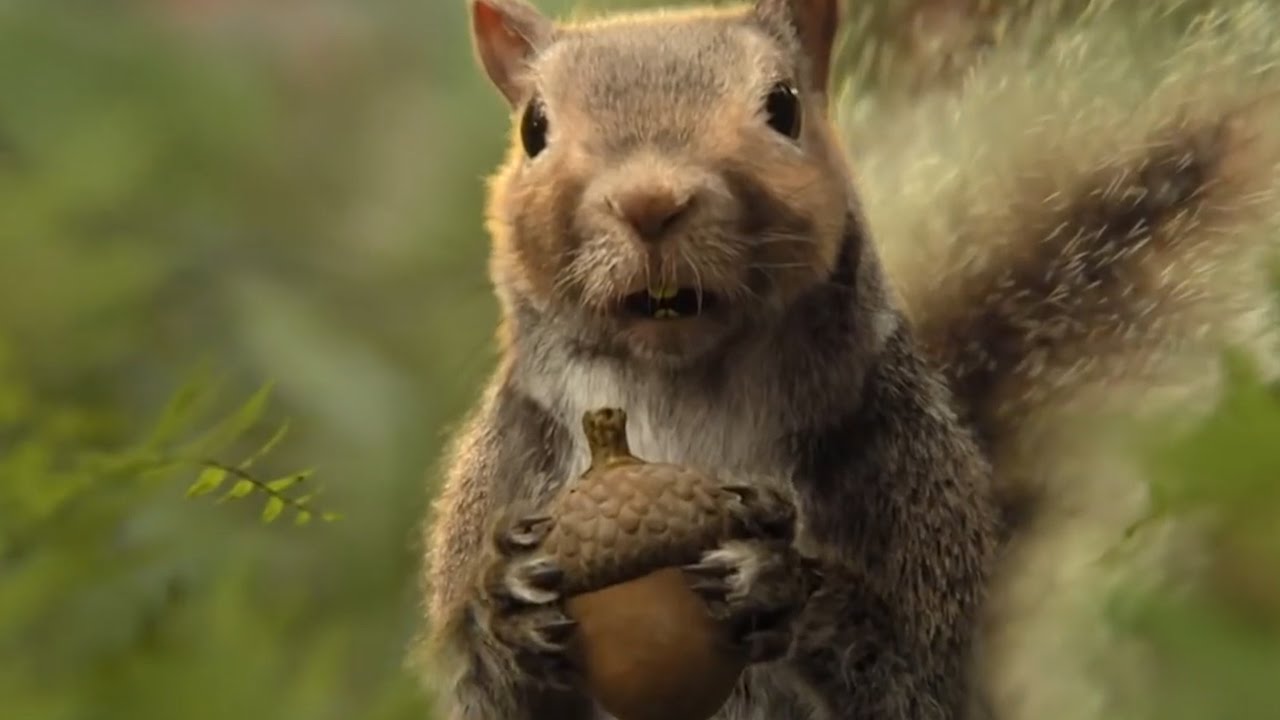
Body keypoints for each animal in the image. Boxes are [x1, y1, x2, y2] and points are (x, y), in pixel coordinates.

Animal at [421, 1, 1280, 720]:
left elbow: (908, 684)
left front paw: (778, 582)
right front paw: (508, 611)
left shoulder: (908, 488)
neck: (677, 393)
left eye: (784, 107)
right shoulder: (506, 479)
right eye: (534, 128)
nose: (650, 202)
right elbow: (489, 695)